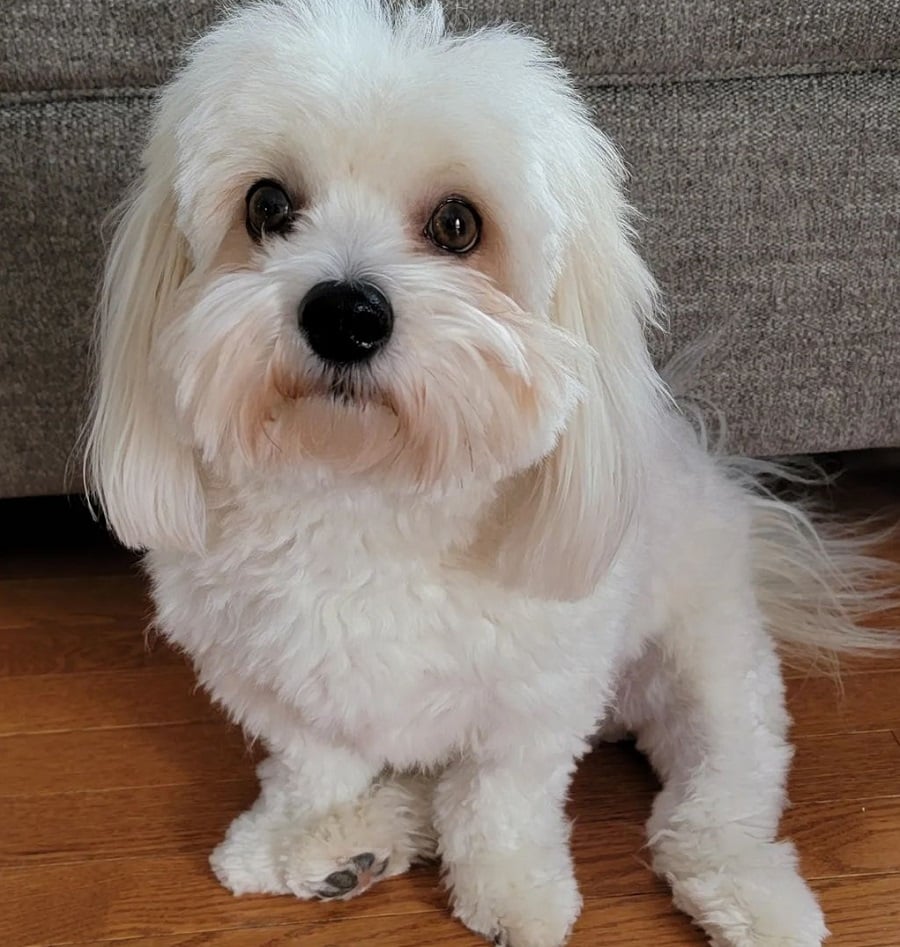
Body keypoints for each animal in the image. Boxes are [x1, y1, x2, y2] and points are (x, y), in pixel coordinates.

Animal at [84, 3, 892, 944]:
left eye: (458, 225)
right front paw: (306, 825)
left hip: (712, 669)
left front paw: (513, 888)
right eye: (268, 205)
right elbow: (317, 762)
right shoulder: (268, 679)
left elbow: (499, 799)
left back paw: (755, 896)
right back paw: (355, 841)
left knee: (717, 794)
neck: (365, 491)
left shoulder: (538, 697)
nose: (345, 313)